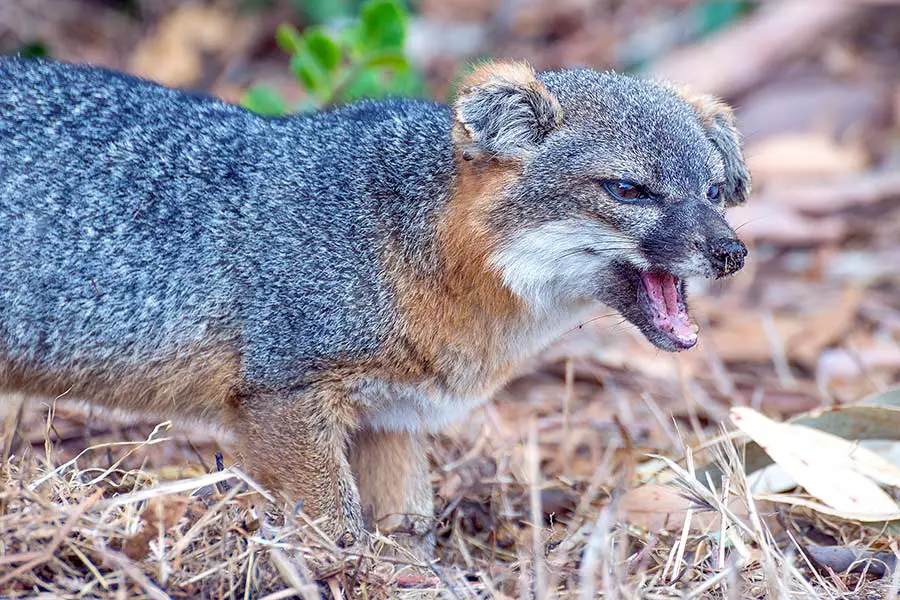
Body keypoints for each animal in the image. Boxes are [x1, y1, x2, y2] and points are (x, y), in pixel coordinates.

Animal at [0, 58, 744, 556]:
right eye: (629, 189)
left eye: (713, 190)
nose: (732, 252)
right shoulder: (283, 397)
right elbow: (334, 528)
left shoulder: (392, 415)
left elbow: (406, 528)